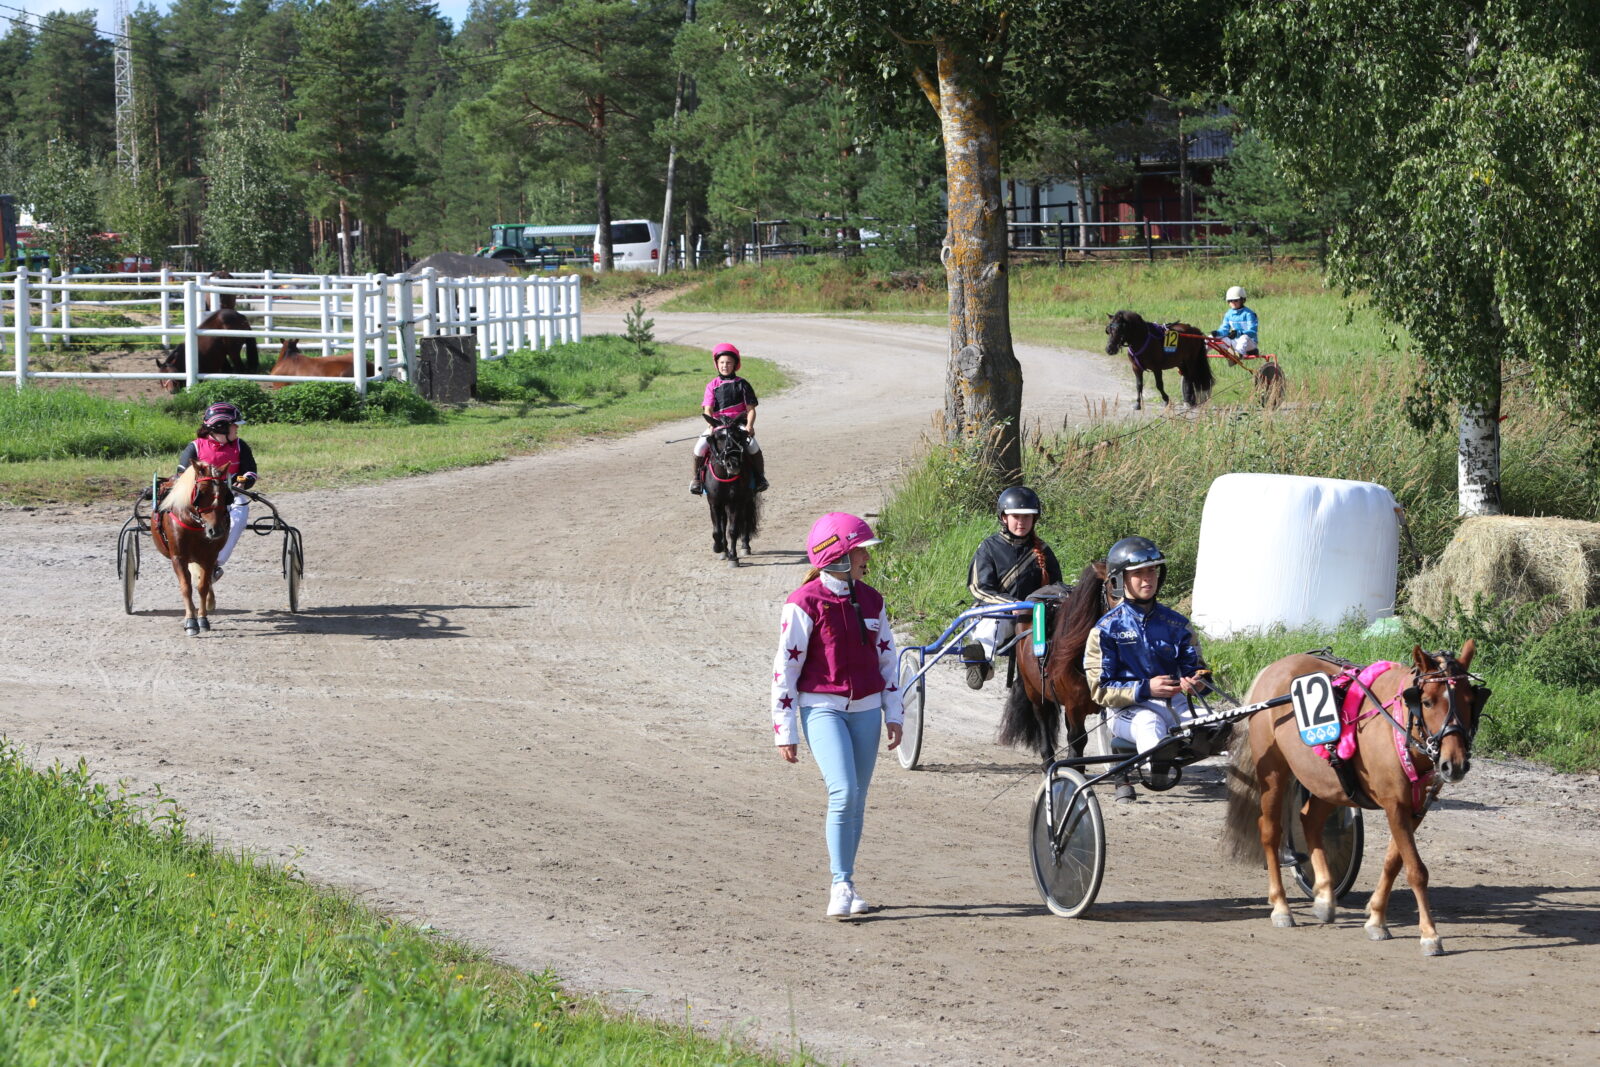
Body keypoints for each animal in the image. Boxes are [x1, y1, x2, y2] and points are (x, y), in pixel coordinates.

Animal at [148, 463, 233, 639]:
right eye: (201, 492)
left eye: (225, 494)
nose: (215, 530)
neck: (193, 523)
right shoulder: (178, 557)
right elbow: (186, 587)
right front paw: (191, 621)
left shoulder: (209, 557)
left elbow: (202, 586)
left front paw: (202, 619)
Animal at [697, 415, 758, 566]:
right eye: (719, 437)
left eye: (737, 436)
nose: (733, 464)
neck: (724, 475)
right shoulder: (714, 503)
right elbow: (718, 530)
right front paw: (718, 548)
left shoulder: (734, 502)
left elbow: (733, 530)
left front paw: (733, 557)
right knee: (723, 524)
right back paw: (724, 550)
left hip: (746, 500)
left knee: (745, 519)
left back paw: (745, 546)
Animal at [1222, 643, 1484, 959]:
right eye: (1428, 702)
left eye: (1470, 700)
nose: (1453, 765)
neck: (1396, 723)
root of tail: (1274, 667)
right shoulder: (1394, 804)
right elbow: (1416, 870)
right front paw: (1429, 935)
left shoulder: (1415, 809)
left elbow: (1393, 862)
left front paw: (1376, 919)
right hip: (1274, 772)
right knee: (1270, 831)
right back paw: (1281, 907)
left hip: (1329, 781)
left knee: (1309, 819)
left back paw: (1324, 896)